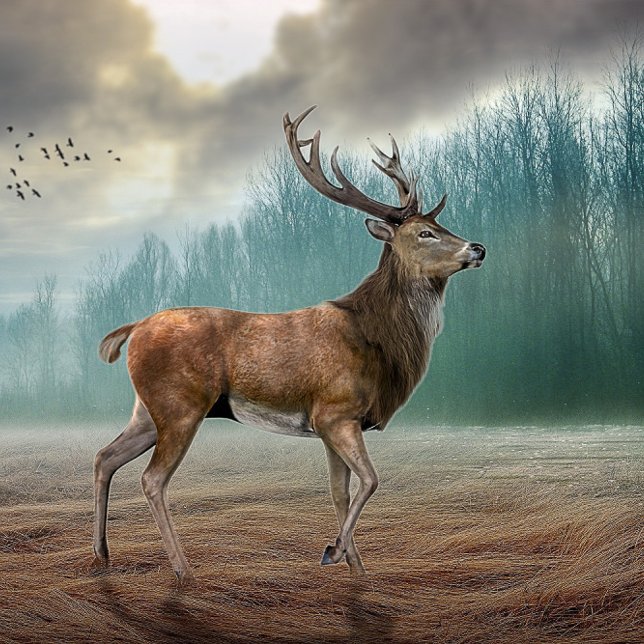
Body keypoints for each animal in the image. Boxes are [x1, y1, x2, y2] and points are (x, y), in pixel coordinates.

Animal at [92, 106, 486, 582]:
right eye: (425, 233)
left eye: (440, 224)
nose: (478, 248)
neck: (377, 342)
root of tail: (133, 329)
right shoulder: (335, 411)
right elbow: (371, 481)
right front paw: (333, 552)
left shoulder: (332, 425)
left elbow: (340, 491)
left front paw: (355, 566)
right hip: (179, 404)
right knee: (152, 479)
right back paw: (184, 571)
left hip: (147, 410)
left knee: (105, 456)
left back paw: (102, 555)